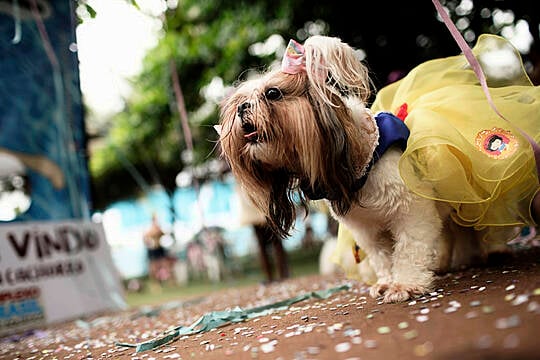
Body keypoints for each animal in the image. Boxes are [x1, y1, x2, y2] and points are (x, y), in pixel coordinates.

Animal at [216, 35, 540, 302]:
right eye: (239, 101)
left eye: (272, 94)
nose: (242, 108)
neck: (364, 158)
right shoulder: (368, 231)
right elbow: (383, 257)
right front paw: (386, 282)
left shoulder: (412, 213)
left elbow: (409, 250)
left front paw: (405, 284)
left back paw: (492, 251)